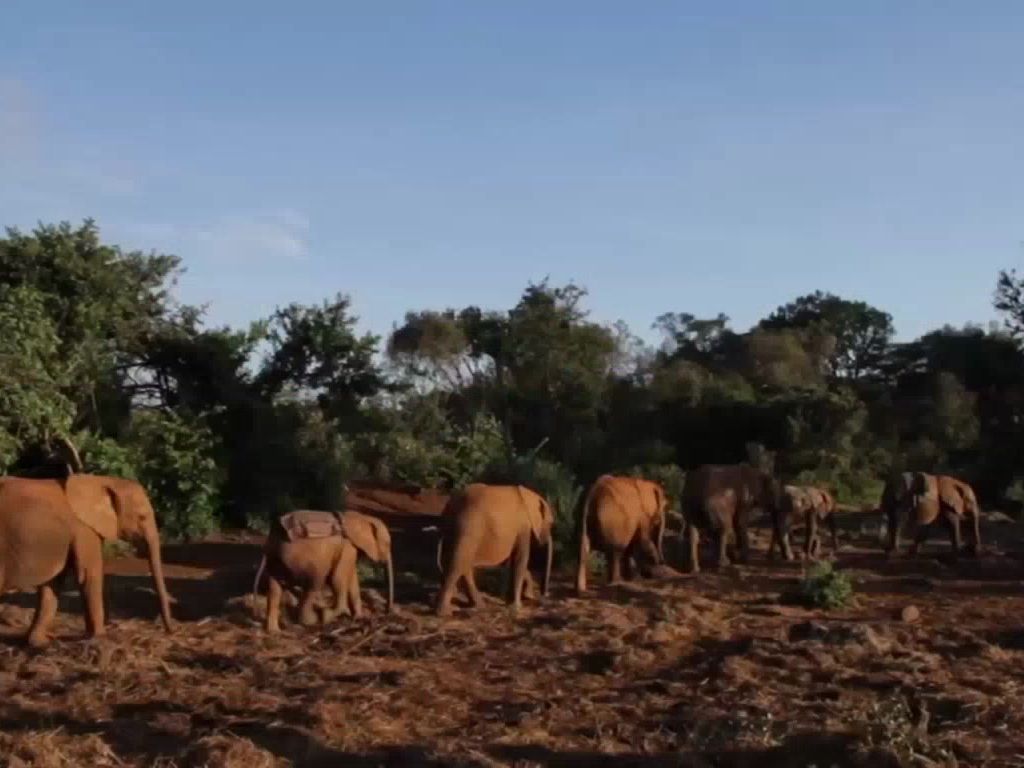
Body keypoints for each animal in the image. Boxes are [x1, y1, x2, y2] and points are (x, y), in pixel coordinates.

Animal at [0, 473, 174, 646]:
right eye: (142, 517)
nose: (169, 631)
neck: (103, 481)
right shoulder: (83, 529)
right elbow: (89, 575)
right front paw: (100, 638)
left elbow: (53, 583)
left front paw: (40, 642)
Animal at [254, 508, 394, 633]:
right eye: (387, 544)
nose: (387, 612)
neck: (363, 517)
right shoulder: (347, 547)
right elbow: (337, 579)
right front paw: (328, 615)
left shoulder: (348, 549)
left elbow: (352, 580)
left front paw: (359, 617)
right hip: (302, 559)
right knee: (314, 583)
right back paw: (313, 620)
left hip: (277, 559)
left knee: (275, 589)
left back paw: (274, 631)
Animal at [434, 483, 554, 617]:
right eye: (551, 523)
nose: (545, 595)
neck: (530, 496)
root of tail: (448, 508)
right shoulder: (523, 527)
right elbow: (520, 559)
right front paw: (517, 607)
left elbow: (514, 560)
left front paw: (522, 598)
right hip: (468, 527)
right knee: (458, 563)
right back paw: (445, 613)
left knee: (464, 565)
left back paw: (479, 606)